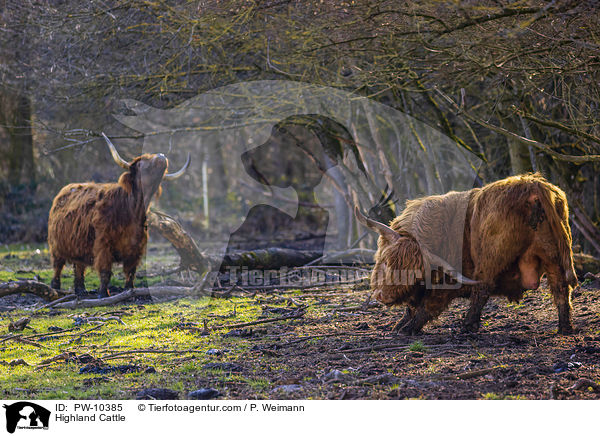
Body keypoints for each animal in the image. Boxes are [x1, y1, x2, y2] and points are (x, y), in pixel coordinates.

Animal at [48, 133, 190, 296]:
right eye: (141, 163)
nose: (161, 156)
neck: (132, 211)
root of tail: (65, 189)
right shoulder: (103, 245)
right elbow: (105, 271)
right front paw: (103, 294)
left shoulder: (136, 248)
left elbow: (131, 272)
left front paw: (129, 290)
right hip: (56, 245)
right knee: (58, 266)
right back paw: (55, 287)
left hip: (78, 244)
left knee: (79, 266)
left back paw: (81, 290)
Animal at [356, 173, 576, 334]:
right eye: (385, 261)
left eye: (414, 273)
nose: (382, 296)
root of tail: (532, 185)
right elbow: (412, 306)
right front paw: (400, 324)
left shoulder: (445, 283)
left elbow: (427, 306)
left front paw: (406, 328)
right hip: (552, 253)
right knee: (560, 288)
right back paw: (565, 328)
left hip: (491, 256)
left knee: (483, 289)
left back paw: (467, 326)